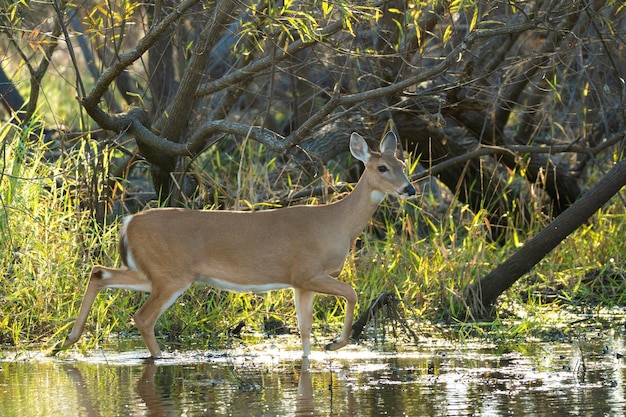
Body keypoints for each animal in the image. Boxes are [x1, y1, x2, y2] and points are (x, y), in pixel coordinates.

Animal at [54, 132, 414, 360]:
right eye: (382, 167)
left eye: (403, 165)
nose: (409, 189)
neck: (335, 224)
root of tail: (128, 222)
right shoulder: (307, 272)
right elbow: (352, 293)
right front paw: (336, 344)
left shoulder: (300, 283)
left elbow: (304, 331)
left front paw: (318, 352)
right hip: (172, 275)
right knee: (142, 317)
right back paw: (161, 358)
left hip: (149, 271)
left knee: (99, 273)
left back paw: (67, 341)